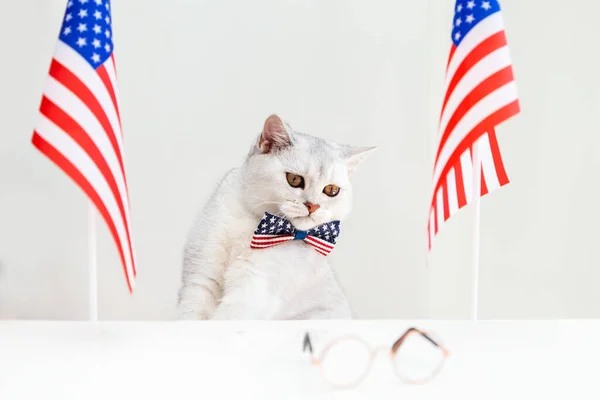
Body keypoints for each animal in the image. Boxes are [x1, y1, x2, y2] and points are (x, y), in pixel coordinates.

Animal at [176, 114, 376, 320]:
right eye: (294, 179)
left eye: (331, 190)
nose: (313, 205)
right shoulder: (200, 279)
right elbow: (190, 313)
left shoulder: (253, 289)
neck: (254, 224)